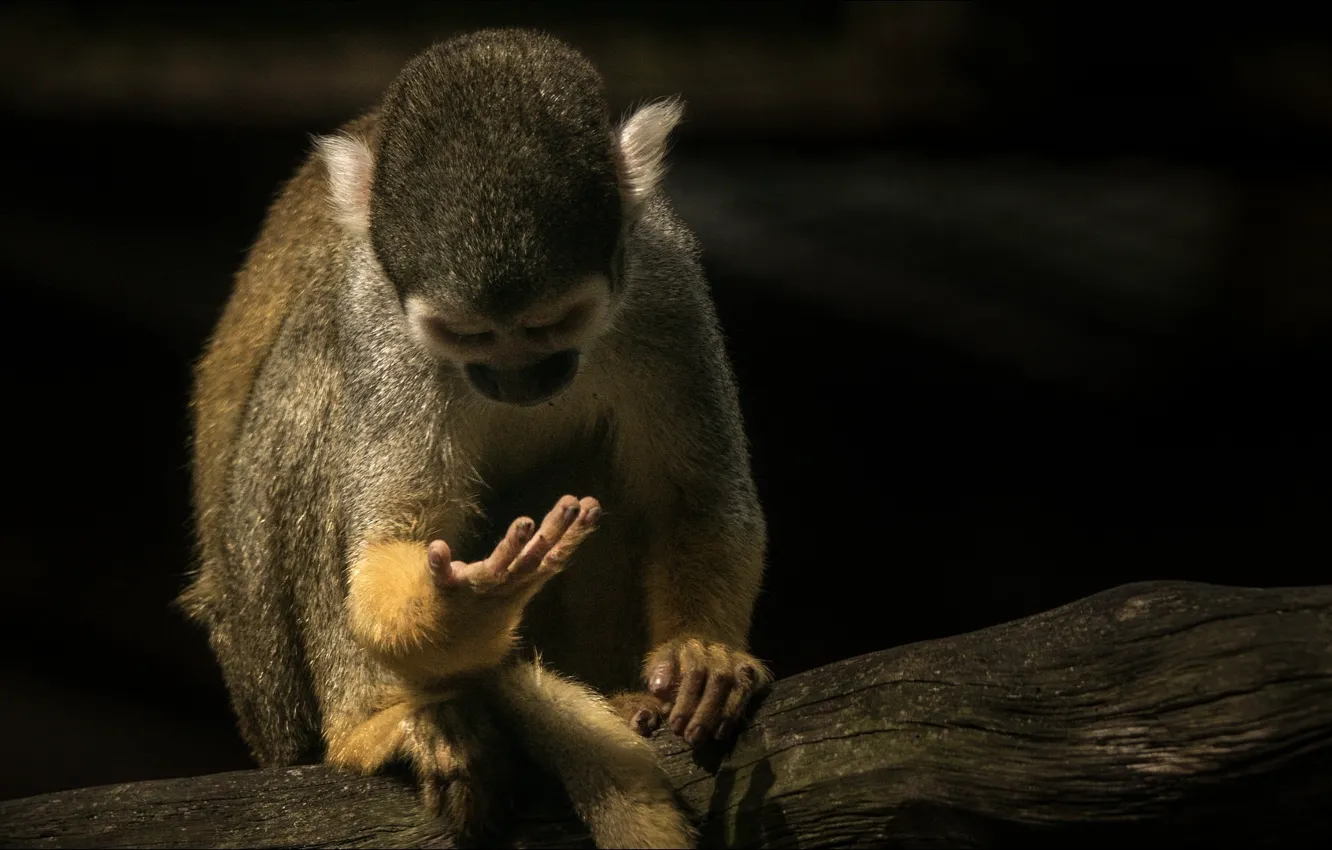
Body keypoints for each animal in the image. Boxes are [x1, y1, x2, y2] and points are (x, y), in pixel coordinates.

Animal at [182, 28, 777, 850]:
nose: (519, 382)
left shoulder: (664, 279)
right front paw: (471, 597)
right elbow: (385, 549)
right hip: (268, 669)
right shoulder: (384, 322)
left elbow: (696, 497)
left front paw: (701, 656)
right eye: (465, 335)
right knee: (317, 360)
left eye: (554, 324)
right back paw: (371, 724)